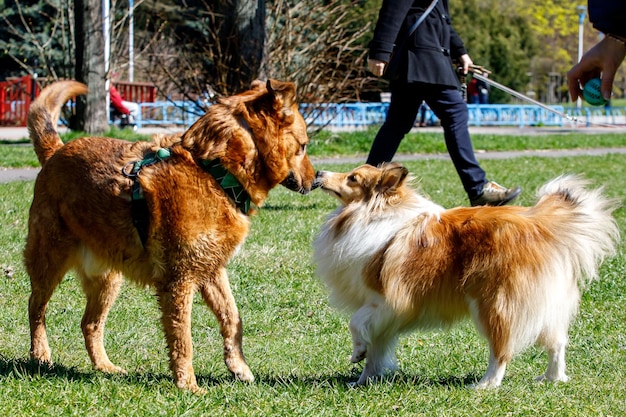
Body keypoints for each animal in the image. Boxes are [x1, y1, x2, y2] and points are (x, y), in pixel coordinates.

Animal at [25, 79, 316, 392]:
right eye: (303, 146)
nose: (316, 181)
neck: (215, 172)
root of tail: (55, 151)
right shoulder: (179, 280)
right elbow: (183, 338)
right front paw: (188, 385)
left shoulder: (212, 270)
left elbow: (232, 318)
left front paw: (238, 367)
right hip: (49, 262)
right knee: (36, 309)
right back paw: (40, 356)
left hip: (107, 279)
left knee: (89, 323)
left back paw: (104, 367)